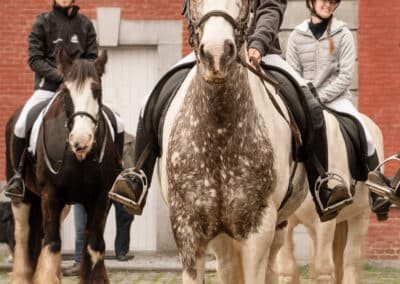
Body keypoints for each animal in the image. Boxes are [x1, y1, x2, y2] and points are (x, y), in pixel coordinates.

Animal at [159, 1, 306, 282]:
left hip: (277, 224)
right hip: (221, 234)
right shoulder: (187, 226)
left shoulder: (259, 227)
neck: (218, 132)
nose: (216, 54)